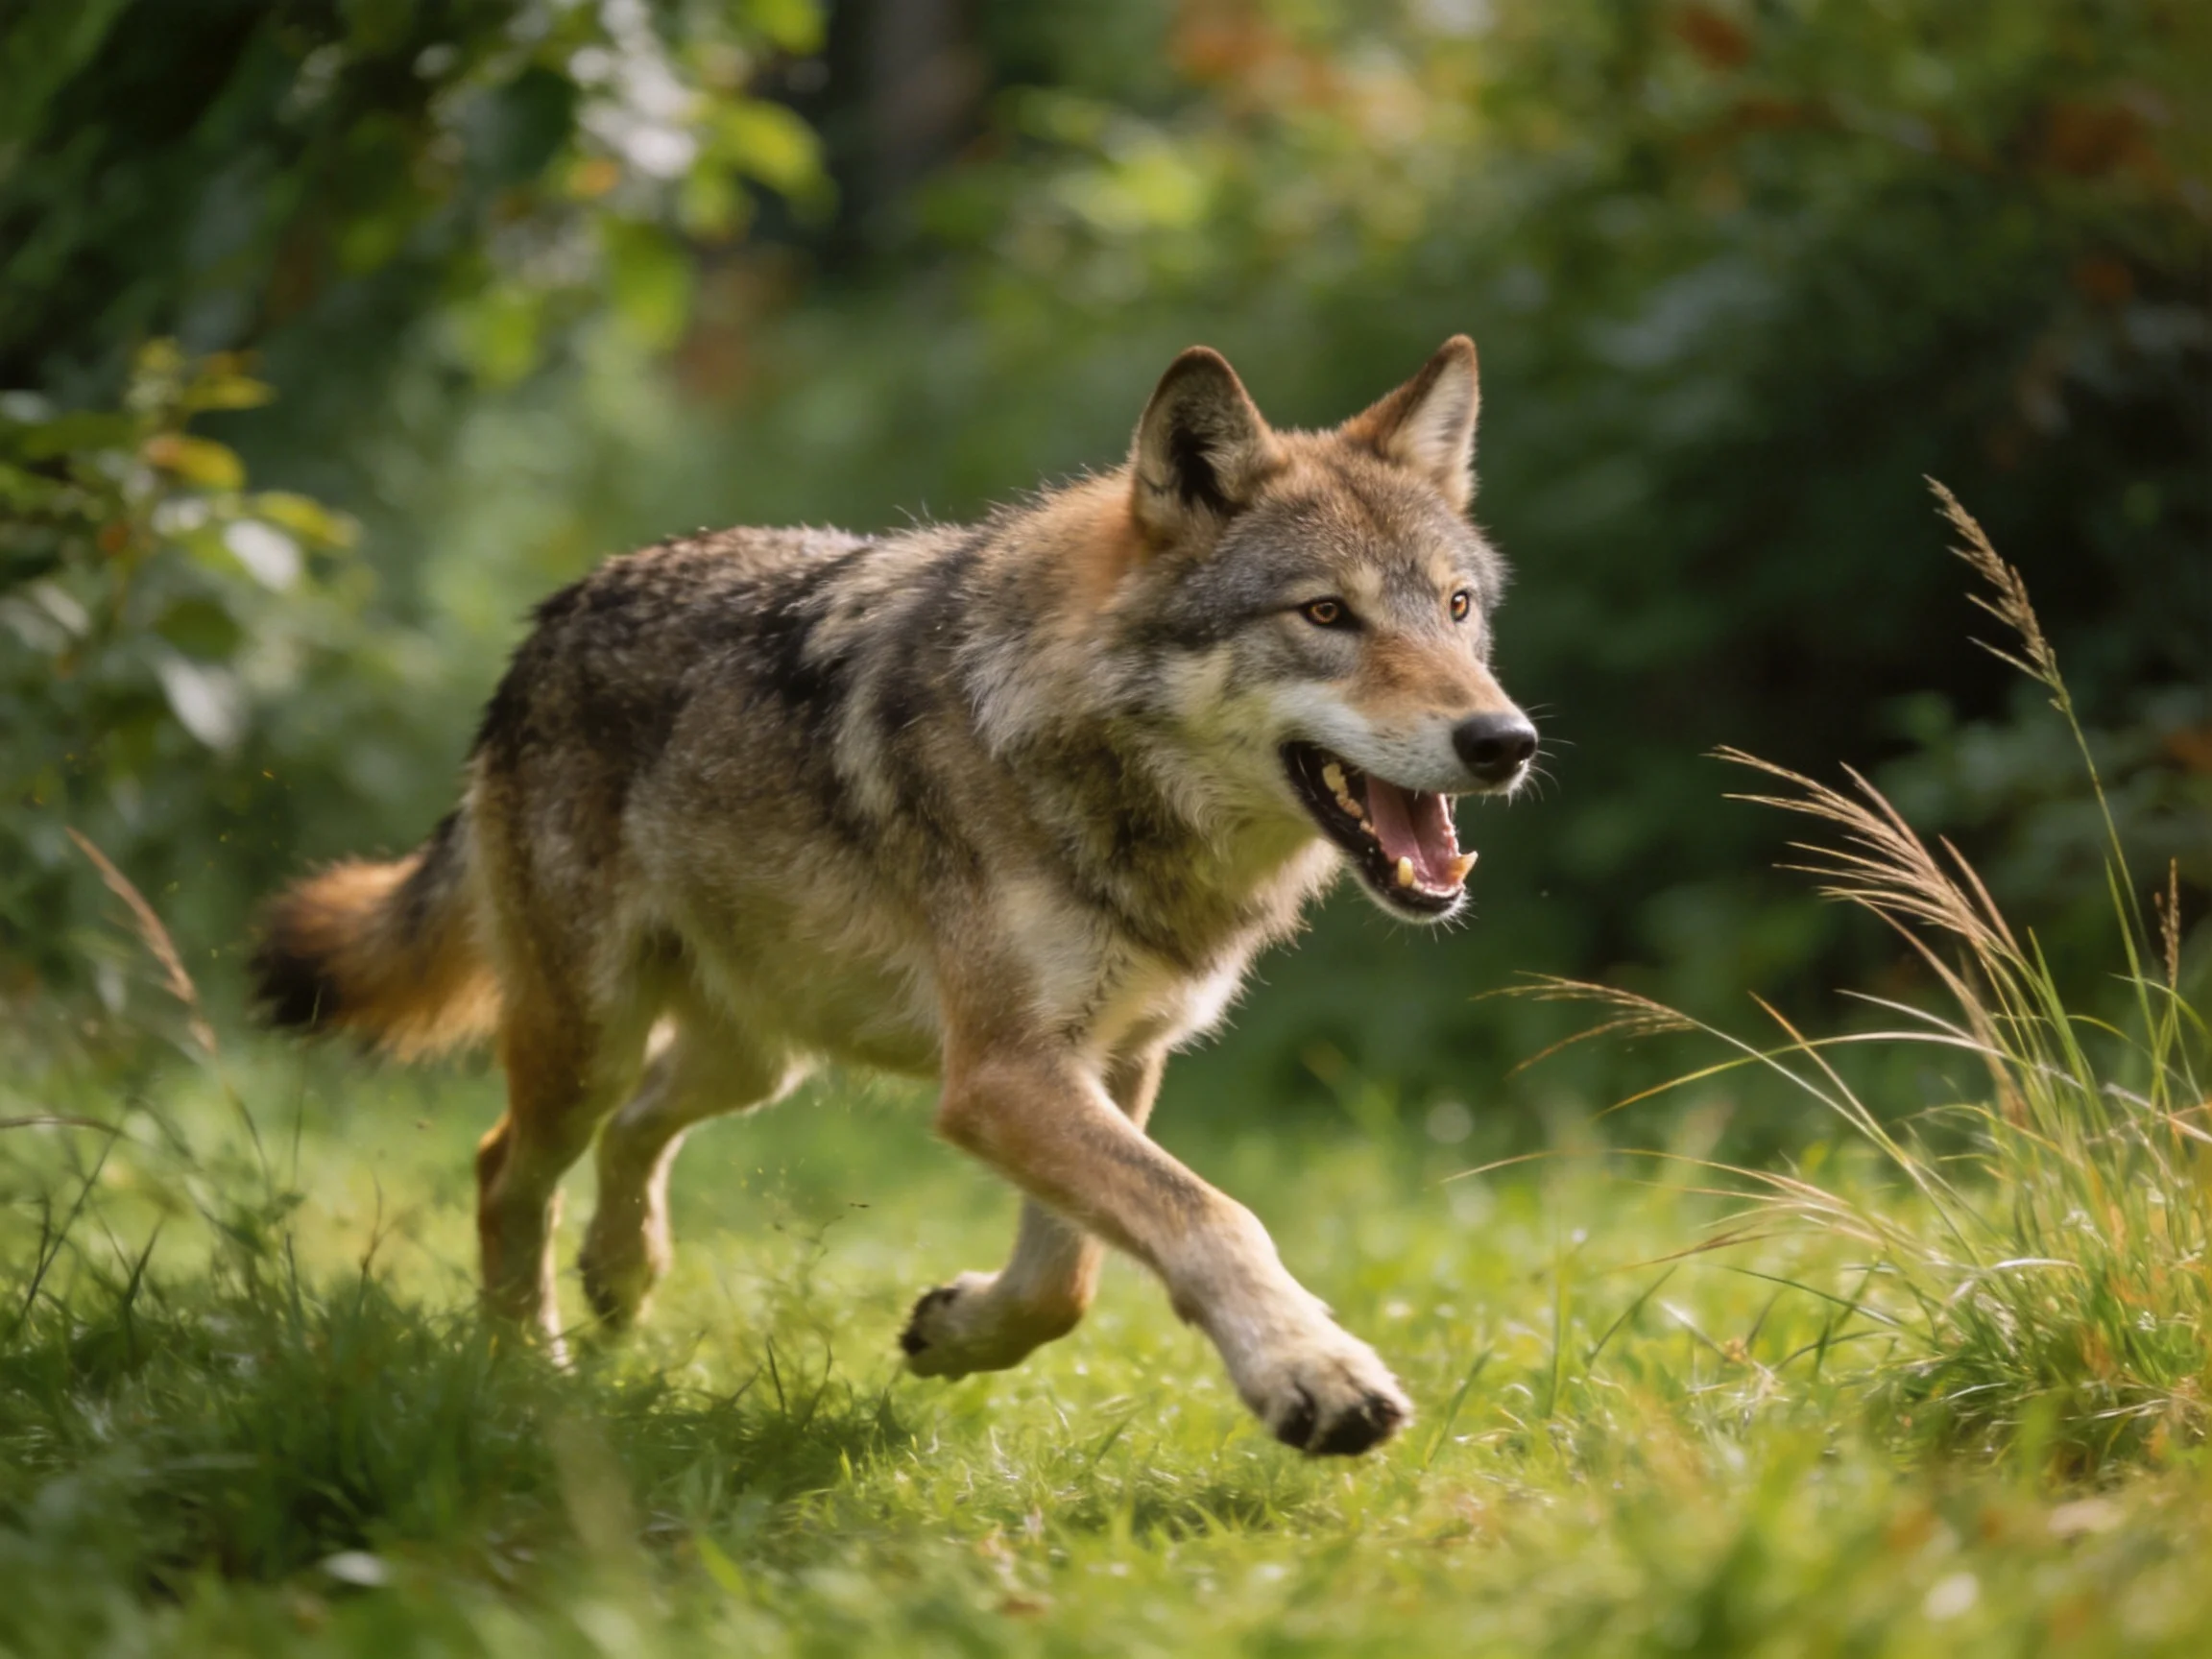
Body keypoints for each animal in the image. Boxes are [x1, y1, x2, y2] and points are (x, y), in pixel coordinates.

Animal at [252, 336, 1538, 1456]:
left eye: (1457, 608)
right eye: (1325, 614)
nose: (1505, 742)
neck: (1098, 773)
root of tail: (551, 618)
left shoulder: (1112, 1061)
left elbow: (1068, 1279)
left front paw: (955, 1332)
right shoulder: (1004, 1072)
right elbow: (1213, 1216)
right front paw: (1315, 1377)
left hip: (756, 1056)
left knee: (633, 1130)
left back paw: (623, 1278)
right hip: (593, 1039)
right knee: (502, 1168)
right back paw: (531, 1373)